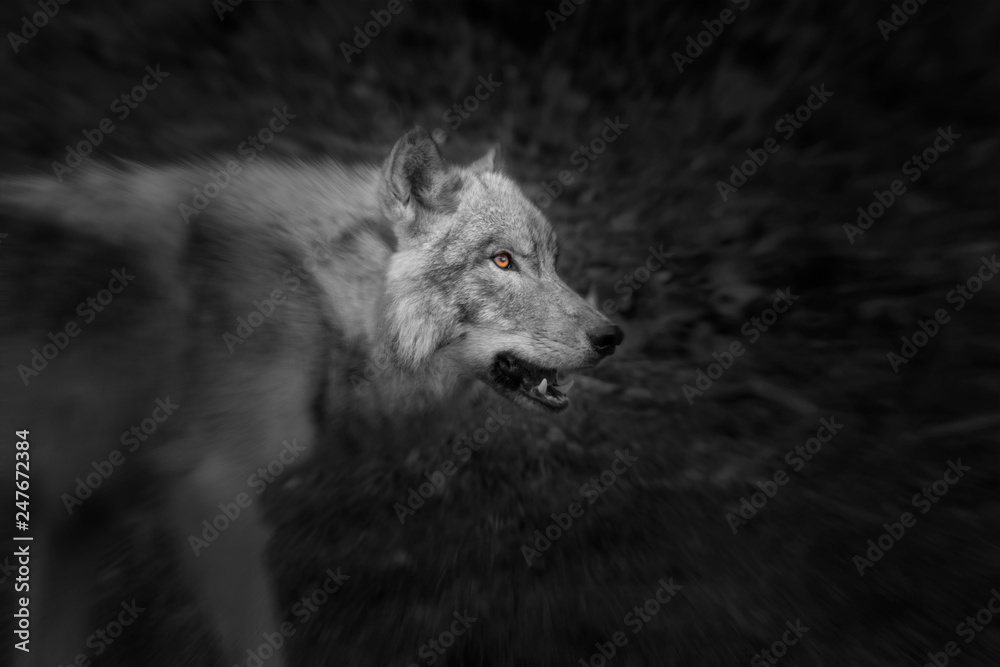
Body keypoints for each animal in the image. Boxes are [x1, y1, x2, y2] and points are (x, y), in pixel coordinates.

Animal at [0, 127, 623, 666]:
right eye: (502, 260)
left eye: (553, 261)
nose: (612, 337)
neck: (317, 292)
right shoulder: (211, 492)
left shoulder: (81, 513)